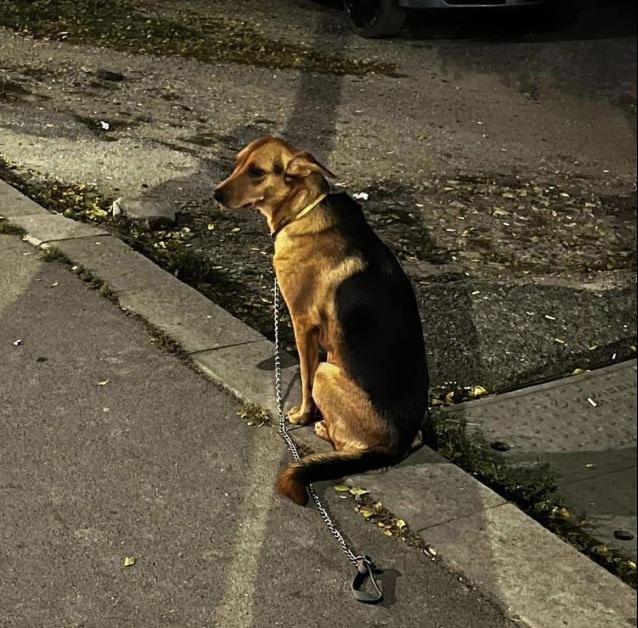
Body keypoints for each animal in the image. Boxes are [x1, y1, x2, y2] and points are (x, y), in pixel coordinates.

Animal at [215, 137, 430, 506]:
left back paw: (322, 427)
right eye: (237, 162)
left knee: (343, 442)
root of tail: (398, 445)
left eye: (256, 172)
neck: (304, 209)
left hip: (326, 373)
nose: (215, 194)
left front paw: (302, 415)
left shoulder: (302, 324)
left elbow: (302, 375)